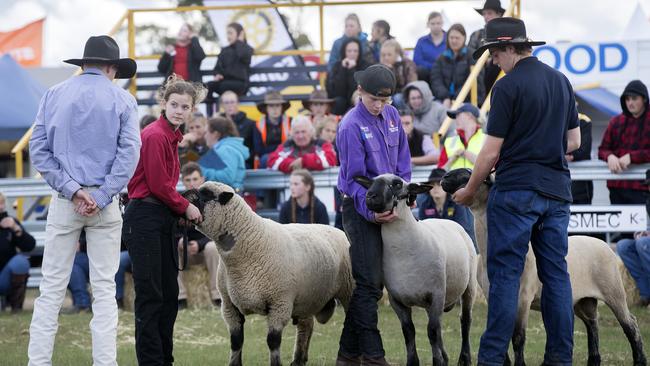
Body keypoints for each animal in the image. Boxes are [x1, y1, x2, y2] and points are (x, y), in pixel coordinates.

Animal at [180, 183, 352, 366]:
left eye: (206, 195)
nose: (182, 197)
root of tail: (336, 229)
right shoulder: (229, 305)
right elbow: (236, 341)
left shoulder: (279, 303)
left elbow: (273, 341)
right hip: (306, 297)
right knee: (306, 326)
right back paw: (299, 359)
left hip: (347, 290)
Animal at [354, 172, 476, 366]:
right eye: (371, 183)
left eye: (397, 184)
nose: (370, 196)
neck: (403, 251)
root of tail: (447, 220)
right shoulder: (397, 300)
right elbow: (409, 332)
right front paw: (415, 362)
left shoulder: (436, 293)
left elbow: (431, 331)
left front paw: (437, 361)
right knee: (440, 325)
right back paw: (446, 357)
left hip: (469, 286)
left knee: (465, 321)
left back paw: (465, 358)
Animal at [438, 169, 644, 366]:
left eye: (469, 174)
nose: (445, 177)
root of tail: (604, 245)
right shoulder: (491, 294)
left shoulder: (523, 296)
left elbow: (518, 337)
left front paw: (520, 363)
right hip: (583, 300)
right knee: (593, 324)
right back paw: (594, 360)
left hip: (614, 291)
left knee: (630, 324)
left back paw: (639, 359)